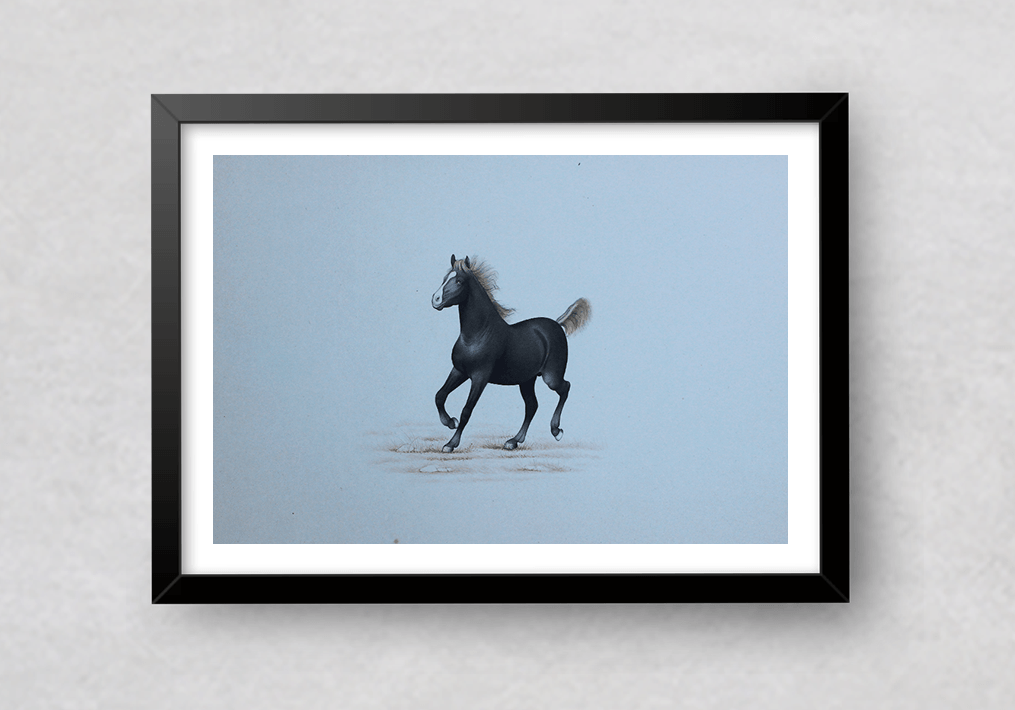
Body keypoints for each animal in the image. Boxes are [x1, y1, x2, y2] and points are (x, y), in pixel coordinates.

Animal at [431, 254, 591, 453]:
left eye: (459, 281)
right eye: (444, 278)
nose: (435, 300)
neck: (478, 334)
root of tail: (557, 324)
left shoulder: (479, 377)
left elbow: (466, 410)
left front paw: (451, 444)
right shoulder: (459, 371)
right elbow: (439, 396)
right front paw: (450, 422)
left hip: (551, 377)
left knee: (565, 388)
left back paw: (556, 431)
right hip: (527, 380)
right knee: (532, 405)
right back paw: (513, 441)